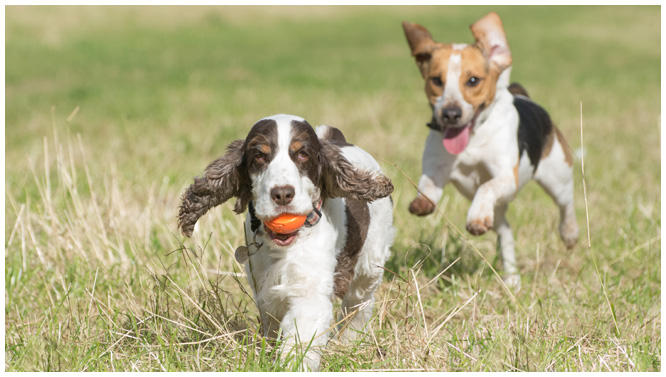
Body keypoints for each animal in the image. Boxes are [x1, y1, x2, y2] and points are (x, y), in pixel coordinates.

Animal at [178, 113, 394, 368]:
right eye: (259, 155)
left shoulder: (309, 290)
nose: (282, 194)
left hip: (370, 263)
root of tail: (338, 139)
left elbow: (301, 336)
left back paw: (351, 340)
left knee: (359, 302)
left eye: (302, 154)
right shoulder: (262, 284)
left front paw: (292, 365)